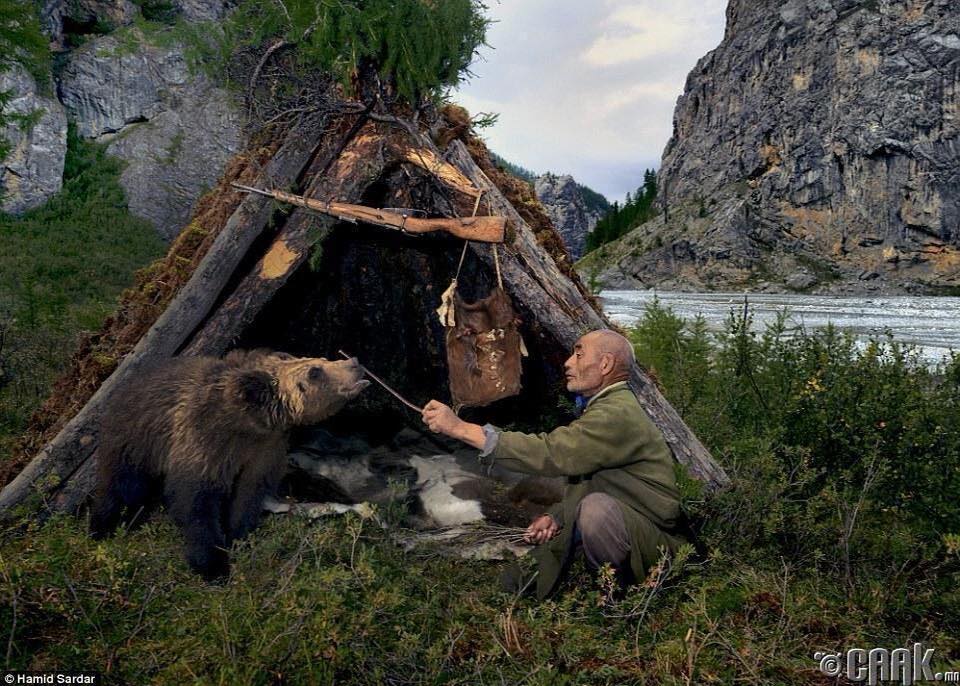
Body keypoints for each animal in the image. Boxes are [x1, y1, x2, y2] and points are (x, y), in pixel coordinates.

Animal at [89, 350, 368, 580]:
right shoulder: (204, 444)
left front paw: (238, 537)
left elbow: (247, 496)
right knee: (122, 486)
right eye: (315, 371)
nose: (354, 362)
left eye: (321, 359)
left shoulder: (265, 451)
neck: (246, 425)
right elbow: (196, 502)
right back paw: (104, 527)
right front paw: (213, 565)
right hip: (135, 439)